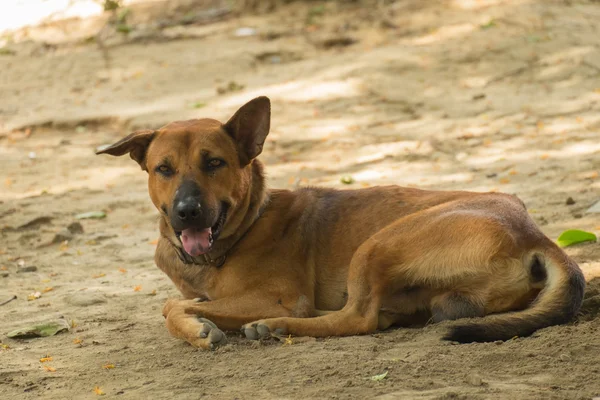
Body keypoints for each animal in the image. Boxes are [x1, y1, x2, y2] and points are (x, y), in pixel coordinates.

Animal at [98, 95, 584, 348]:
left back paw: (278, 327)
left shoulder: (280, 295)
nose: (187, 211)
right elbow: (183, 301)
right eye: (164, 169)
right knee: (379, 316)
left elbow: (171, 306)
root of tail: (535, 234)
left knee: (358, 319)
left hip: (377, 244)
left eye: (214, 163)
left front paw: (199, 328)